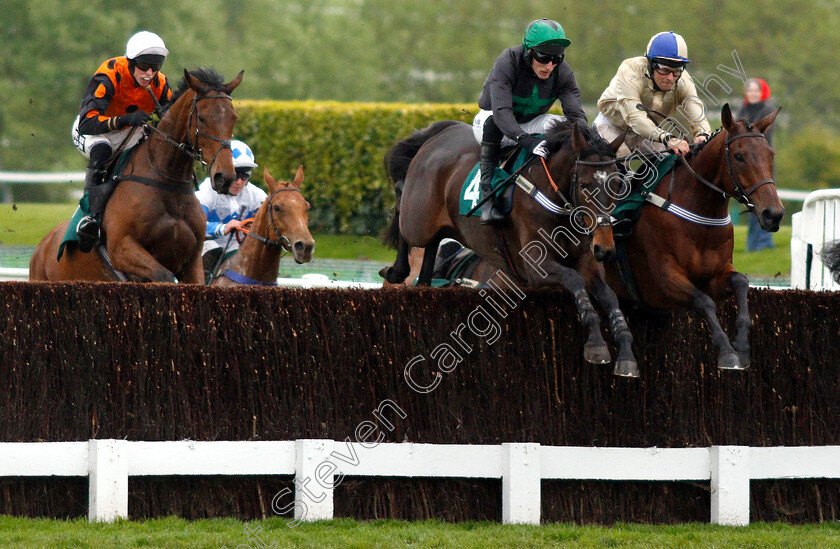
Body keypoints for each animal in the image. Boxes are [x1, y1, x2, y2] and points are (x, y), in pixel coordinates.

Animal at [29, 68, 243, 282]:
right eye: (202, 118)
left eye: (234, 118)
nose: (224, 177)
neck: (167, 183)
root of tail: (42, 247)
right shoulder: (122, 249)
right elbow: (163, 275)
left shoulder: (192, 262)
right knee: (100, 148)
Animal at [378, 119, 636, 374]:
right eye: (583, 185)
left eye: (617, 184)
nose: (605, 247)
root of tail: (439, 133)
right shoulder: (535, 267)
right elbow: (575, 280)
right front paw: (596, 345)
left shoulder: (586, 261)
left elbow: (610, 297)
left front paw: (626, 353)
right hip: (417, 220)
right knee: (403, 211)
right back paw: (396, 270)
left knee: (432, 245)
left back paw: (423, 282)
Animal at [604, 103, 780, 368]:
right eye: (739, 156)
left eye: (771, 154)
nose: (774, 214)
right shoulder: (664, 277)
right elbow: (703, 301)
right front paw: (727, 351)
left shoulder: (715, 274)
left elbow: (741, 282)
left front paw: (741, 345)